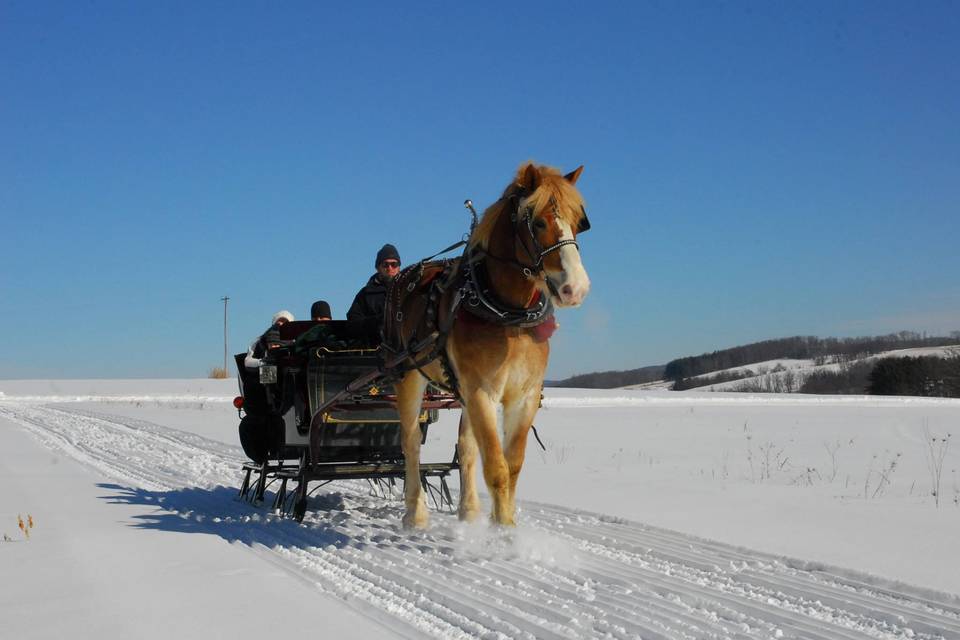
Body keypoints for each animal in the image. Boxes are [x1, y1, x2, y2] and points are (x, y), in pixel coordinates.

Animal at [384, 162, 592, 528]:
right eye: (538, 222)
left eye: (579, 222)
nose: (576, 288)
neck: (508, 315)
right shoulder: (483, 392)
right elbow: (496, 467)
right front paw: (504, 534)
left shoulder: (524, 396)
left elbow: (512, 465)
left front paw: (502, 522)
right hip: (408, 375)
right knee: (410, 444)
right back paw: (415, 513)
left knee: (465, 447)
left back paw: (468, 512)